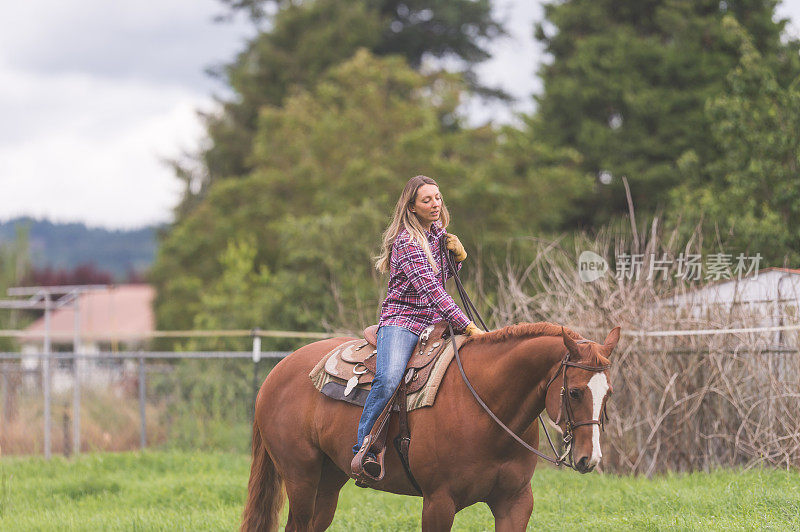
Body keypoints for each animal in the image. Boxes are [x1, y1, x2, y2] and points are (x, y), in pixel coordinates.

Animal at [241, 322, 620, 528]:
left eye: (609, 393)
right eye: (574, 391)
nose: (590, 459)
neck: (486, 406)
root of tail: (278, 370)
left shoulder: (515, 503)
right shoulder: (438, 502)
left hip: (329, 480)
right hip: (300, 477)